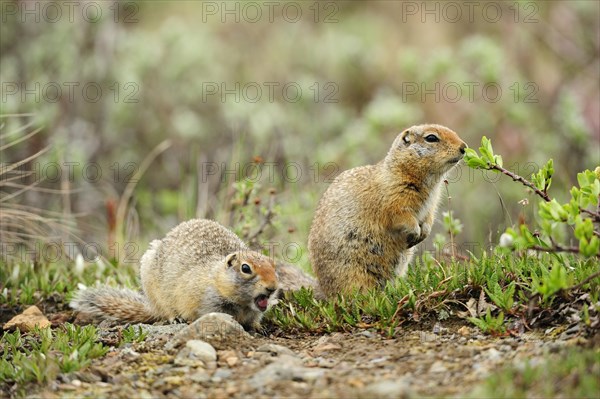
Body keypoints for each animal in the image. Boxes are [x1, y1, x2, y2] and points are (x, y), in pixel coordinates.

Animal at [71, 220, 282, 330]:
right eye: (246, 268)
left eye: (273, 265)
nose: (272, 287)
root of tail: (151, 307)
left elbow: (255, 320)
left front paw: (259, 328)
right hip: (156, 292)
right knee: (166, 310)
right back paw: (175, 318)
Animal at [310, 123, 468, 298]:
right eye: (431, 138)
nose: (464, 147)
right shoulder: (394, 199)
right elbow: (400, 216)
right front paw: (414, 233)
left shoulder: (431, 204)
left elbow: (428, 218)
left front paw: (423, 233)